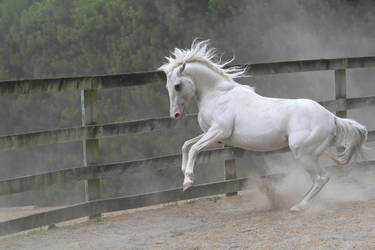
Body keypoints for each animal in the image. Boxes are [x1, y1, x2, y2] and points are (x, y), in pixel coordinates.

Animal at [159, 40, 368, 212]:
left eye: (177, 85)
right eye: (168, 87)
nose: (175, 115)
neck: (218, 94)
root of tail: (330, 117)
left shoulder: (219, 130)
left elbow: (194, 148)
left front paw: (188, 180)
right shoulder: (215, 136)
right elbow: (186, 145)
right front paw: (184, 175)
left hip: (303, 153)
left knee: (321, 178)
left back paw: (298, 207)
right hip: (312, 153)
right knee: (319, 179)